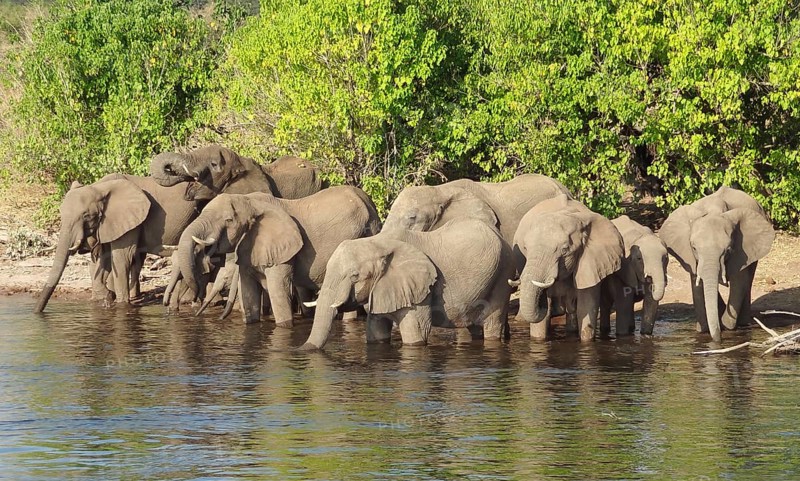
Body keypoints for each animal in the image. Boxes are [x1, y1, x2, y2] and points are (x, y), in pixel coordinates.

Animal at [34, 174, 200, 312]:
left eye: (86, 216)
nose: (38, 312)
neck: (99, 187)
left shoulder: (128, 221)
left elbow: (121, 258)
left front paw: (121, 304)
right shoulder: (107, 225)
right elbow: (103, 259)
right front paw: (106, 297)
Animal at [178, 187, 381, 325]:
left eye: (228, 220)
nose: (193, 300)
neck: (249, 202)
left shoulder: (283, 253)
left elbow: (279, 293)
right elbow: (249, 296)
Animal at [299, 218, 515, 350]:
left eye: (354, 276)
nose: (300, 350)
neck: (377, 243)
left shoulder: (420, 290)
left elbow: (416, 333)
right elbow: (377, 332)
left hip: (502, 274)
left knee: (492, 323)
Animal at [658, 186, 774, 342]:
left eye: (728, 250)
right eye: (694, 248)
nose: (718, 340)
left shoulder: (742, 249)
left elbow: (739, 282)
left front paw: (726, 327)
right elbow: (697, 285)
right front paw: (703, 331)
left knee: (748, 280)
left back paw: (743, 324)